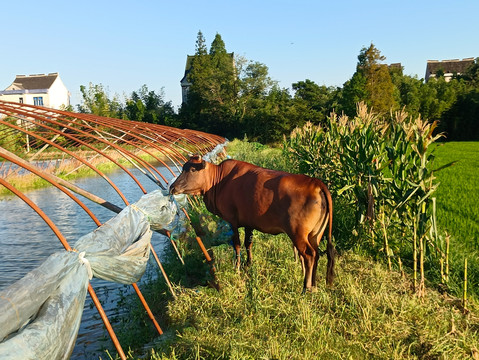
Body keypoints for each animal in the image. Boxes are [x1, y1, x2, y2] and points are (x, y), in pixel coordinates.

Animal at [171, 155, 336, 290]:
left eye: (192, 169)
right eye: (183, 168)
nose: (172, 187)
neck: (219, 181)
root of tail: (316, 183)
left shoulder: (232, 220)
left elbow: (237, 244)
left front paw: (237, 267)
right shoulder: (249, 223)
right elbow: (248, 243)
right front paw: (248, 264)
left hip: (298, 234)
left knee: (309, 255)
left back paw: (306, 287)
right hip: (315, 234)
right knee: (317, 254)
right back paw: (314, 285)